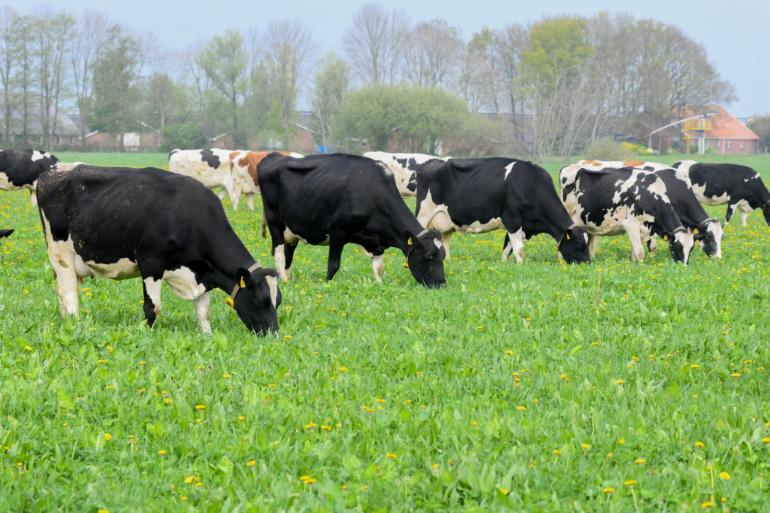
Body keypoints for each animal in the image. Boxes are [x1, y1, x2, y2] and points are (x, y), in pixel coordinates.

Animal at [36, 164, 281, 335]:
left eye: (277, 302)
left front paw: (207, 337)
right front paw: (147, 335)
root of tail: (53, 172)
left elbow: (203, 312)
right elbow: (152, 307)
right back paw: (74, 324)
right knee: (69, 295)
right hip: (61, 256)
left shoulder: (201, 272)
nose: (273, 335)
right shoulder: (151, 263)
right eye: (260, 301)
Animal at [258, 153, 446, 287]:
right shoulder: (337, 232)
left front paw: (380, 285)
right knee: (279, 254)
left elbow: (379, 268)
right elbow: (333, 265)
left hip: (291, 232)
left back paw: (287, 277)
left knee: (287, 256)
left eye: (443, 256)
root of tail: (272, 157)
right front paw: (327, 284)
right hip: (274, 221)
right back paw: (284, 281)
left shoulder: (378, 241)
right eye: (429, 255)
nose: (441, 284)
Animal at [413, 157, 589, 264]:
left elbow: (507, 248)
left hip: (447, 223)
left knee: (445, 242)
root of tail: (429, 164)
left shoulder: (522, 226)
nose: (587, 263)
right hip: (423, 214)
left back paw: (447, 261)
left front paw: (504, 264)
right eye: (579, 245)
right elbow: (518, 248)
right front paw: (521, 265)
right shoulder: (512, 220)